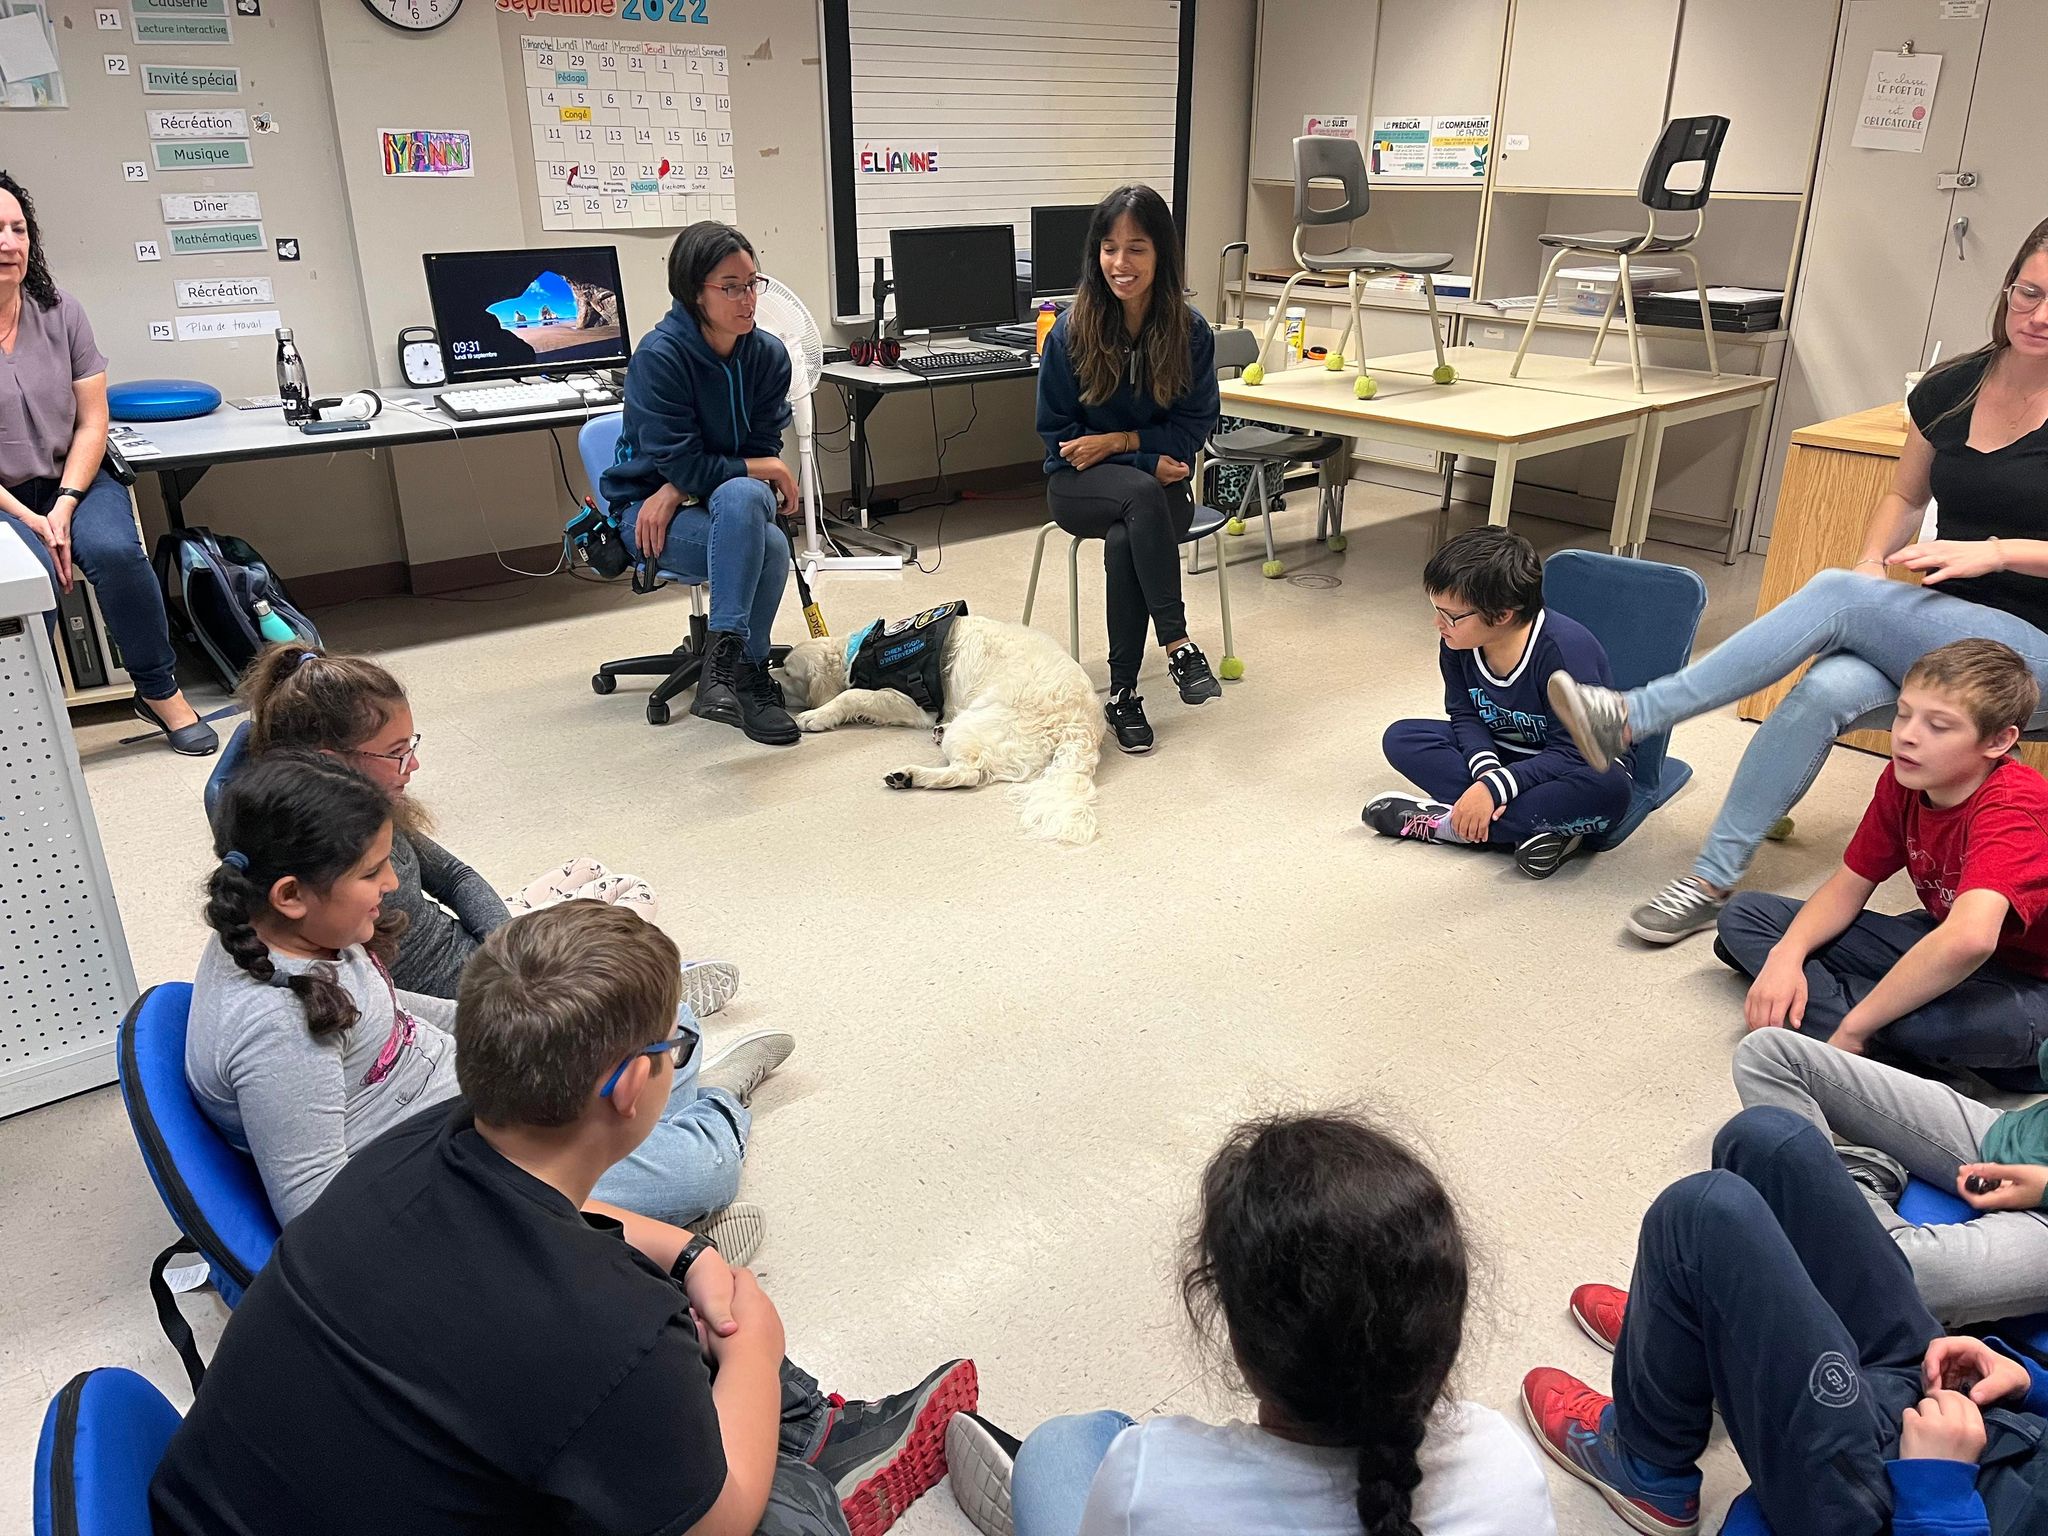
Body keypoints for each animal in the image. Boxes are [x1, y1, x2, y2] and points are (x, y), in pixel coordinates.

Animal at [776, 613, 1103, 845]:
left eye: (788, 672)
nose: (768, 677)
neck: (857, 654)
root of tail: (1082, 723)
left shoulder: (911, 704)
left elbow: (851, 696)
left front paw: (816, 715)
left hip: (973, 725)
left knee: (969, 773)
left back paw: (908, 775)